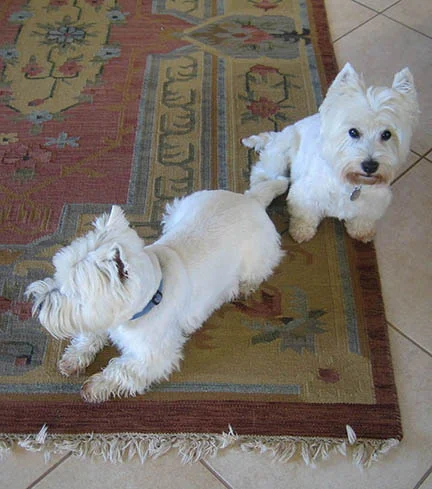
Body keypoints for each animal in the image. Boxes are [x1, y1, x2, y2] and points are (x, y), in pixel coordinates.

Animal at [26, 178, 288, 402]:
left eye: (74, 292)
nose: (37, 303)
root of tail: (251, 199)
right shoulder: (99, 319)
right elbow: (88, 335)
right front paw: (73, 359)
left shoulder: (153, 356)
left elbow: (121, 369)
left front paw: (94, 386)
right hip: (182, 207)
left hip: (256, 259)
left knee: (257, 273)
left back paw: (244, 288)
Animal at [243, 63, 419, 243]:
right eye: (353, 132)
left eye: (387, 134)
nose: (370, 166)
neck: (351, 184)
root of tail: (279, 134)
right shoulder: (306, 194)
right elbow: (305, 214)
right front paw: (302, 230)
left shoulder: (374, 202)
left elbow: (364, 217)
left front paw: (361, 231)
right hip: (280, 155)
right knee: (262, 171)